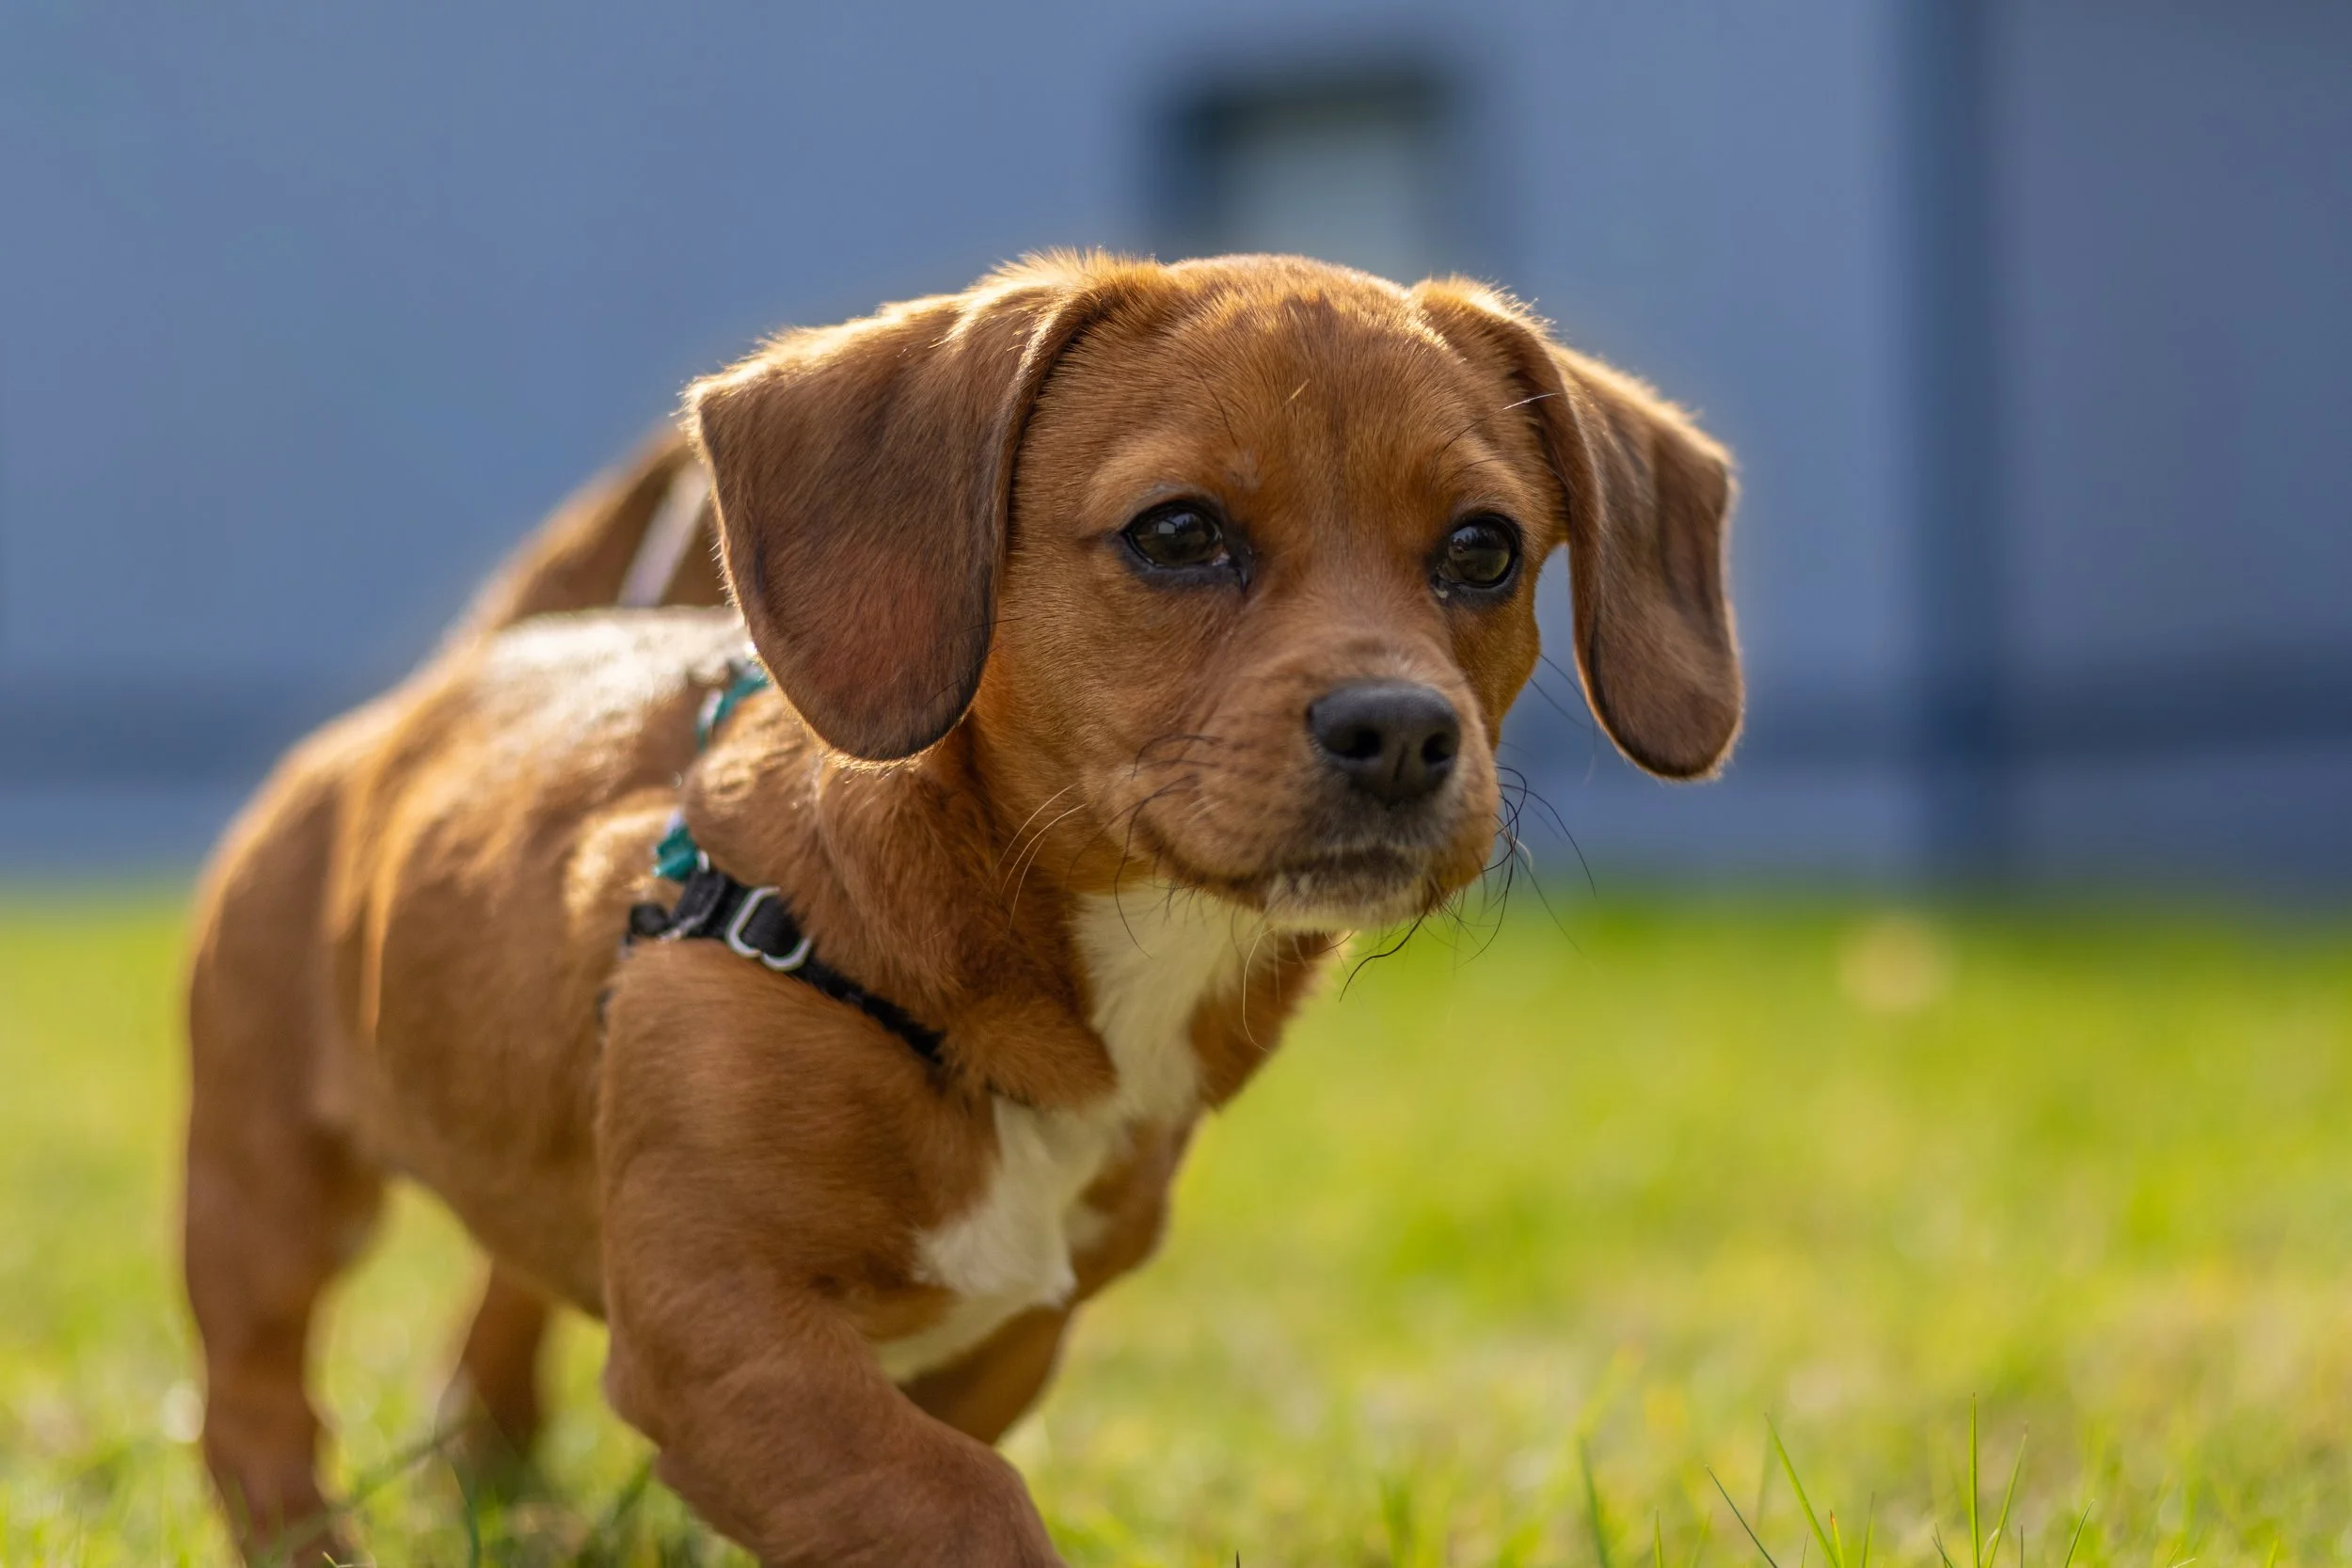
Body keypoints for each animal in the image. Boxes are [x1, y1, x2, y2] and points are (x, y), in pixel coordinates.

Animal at [183, 251, 1741, 1565]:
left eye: (1483, 549)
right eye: (1179, 532)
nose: (1406, 731)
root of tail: (436, 693)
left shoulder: (989, 1342)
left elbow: (902, 1478)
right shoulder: (718, 1326)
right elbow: (954, 1499)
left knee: (496, 1309)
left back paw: (498, 1487)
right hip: (270, 1182)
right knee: (256, 1403)